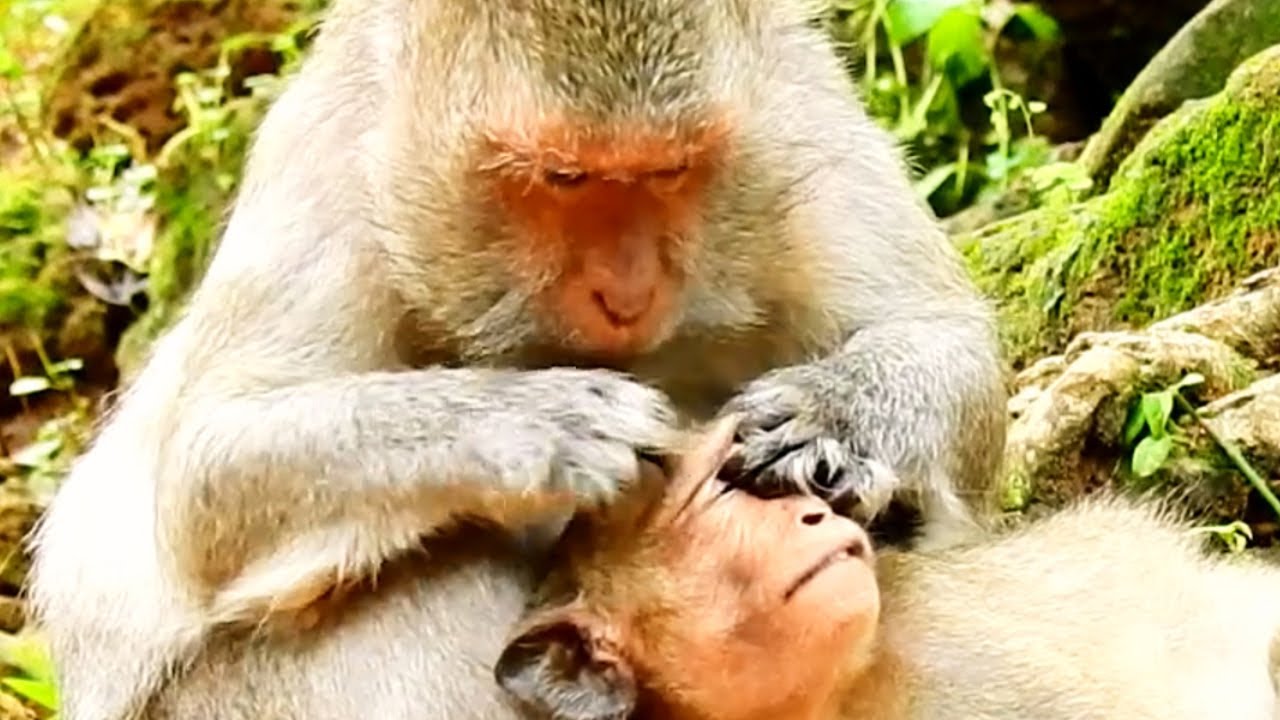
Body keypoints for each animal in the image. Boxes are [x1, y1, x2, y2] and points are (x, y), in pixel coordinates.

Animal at [27, 1, 1004, 718]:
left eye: (671, 171)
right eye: (563, 178)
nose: (627, 290)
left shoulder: (795, 105)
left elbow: (946, 334)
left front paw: (833, 415)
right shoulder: (337, 154)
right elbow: (210, 470)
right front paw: (542, 427)